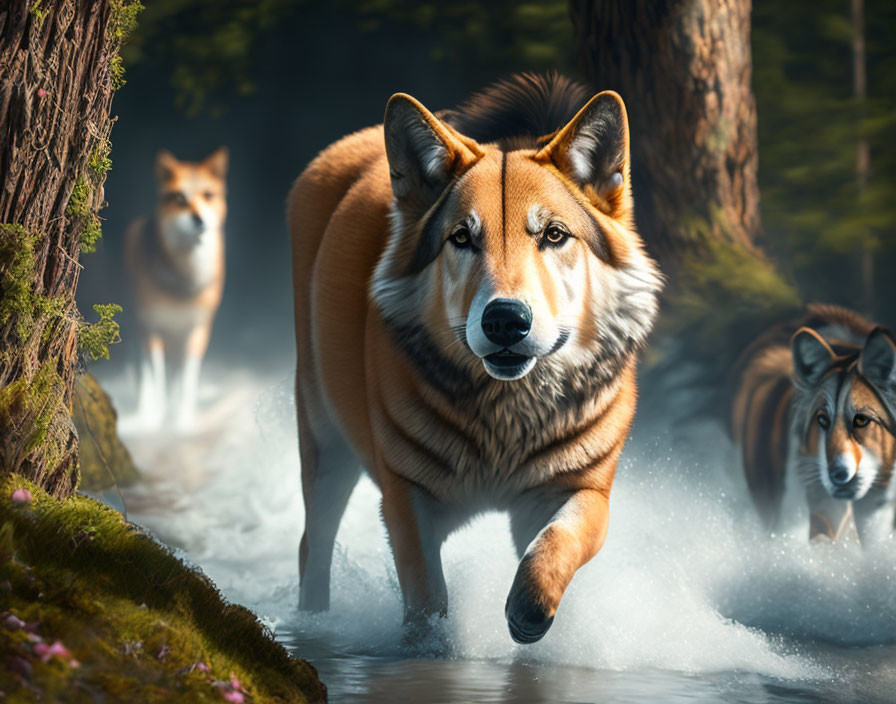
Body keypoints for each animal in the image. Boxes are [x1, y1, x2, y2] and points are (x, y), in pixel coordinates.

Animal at [124, 148, 229, 432]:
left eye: (208, 195)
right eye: (180, 198)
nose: (199, 220)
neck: (184, 282)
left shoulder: (197, 331)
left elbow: (186, 384)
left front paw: (182, 421)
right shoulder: (151, 329)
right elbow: (156, 381)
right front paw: (154, 421)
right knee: (146, 381)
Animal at [290, 73, 660, 644]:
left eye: (554, 234)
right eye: (461, 237)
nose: (505, 320)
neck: (504, 426)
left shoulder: (584, 488)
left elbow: (556, 544)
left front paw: (529, 612)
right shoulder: (406, 498)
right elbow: (426, 599)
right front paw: (428, 645)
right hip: (324, 442)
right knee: (313, 544)